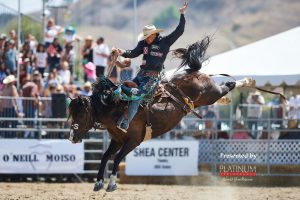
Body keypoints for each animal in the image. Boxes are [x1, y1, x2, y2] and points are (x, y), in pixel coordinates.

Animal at [67, 37, 284, 192]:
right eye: (71, 115)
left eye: (81, 115)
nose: (71, 137)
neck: (116, 105)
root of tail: (195, 72)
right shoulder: (117, 140)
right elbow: (105, 157)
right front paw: (98, 183)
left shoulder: (133, 141)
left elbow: (118, 158)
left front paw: (111, 183)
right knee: (225, 87)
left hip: (211, 93)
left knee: (228, 85)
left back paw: (248, 81)